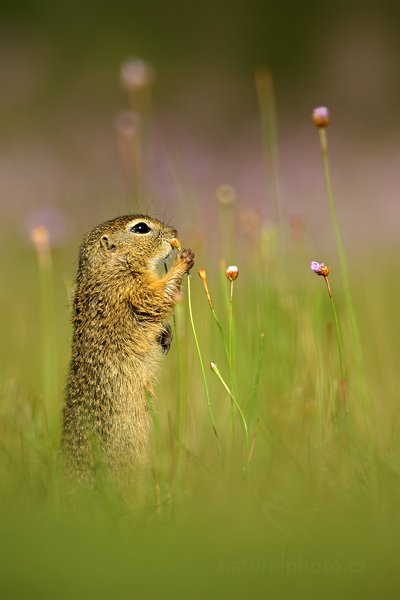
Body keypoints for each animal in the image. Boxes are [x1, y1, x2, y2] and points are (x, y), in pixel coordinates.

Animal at [61, 213, 195, 480]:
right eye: (141, 228)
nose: (174, 231)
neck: (108, 266)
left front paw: (165, 336)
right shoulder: (129, 289)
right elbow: (156, 298)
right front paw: (183, 260)